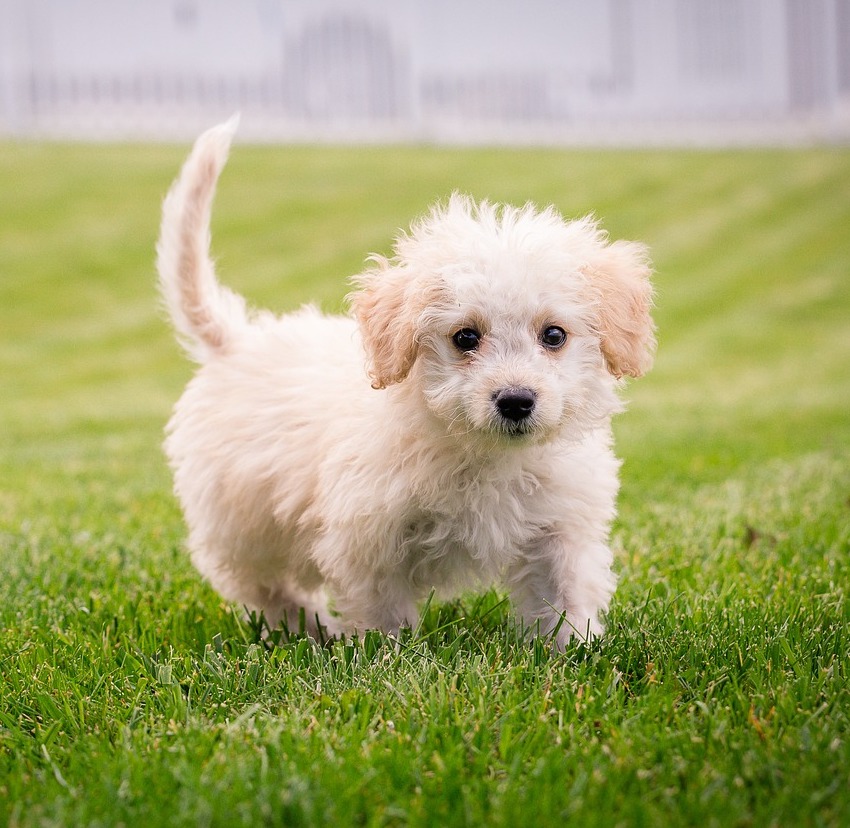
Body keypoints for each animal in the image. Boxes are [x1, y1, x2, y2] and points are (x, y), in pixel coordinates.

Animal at [156, 118, 652, 648]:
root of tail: (237, 339)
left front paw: (573, 649)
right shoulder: (367, 539)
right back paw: (312, 630)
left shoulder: (561, 528)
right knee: (265, 587)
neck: (482, 454)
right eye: (465, 337)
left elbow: (564, 596)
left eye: (554, 335)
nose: (516, 401)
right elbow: (383, 613)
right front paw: (387, 655)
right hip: (242, 524)